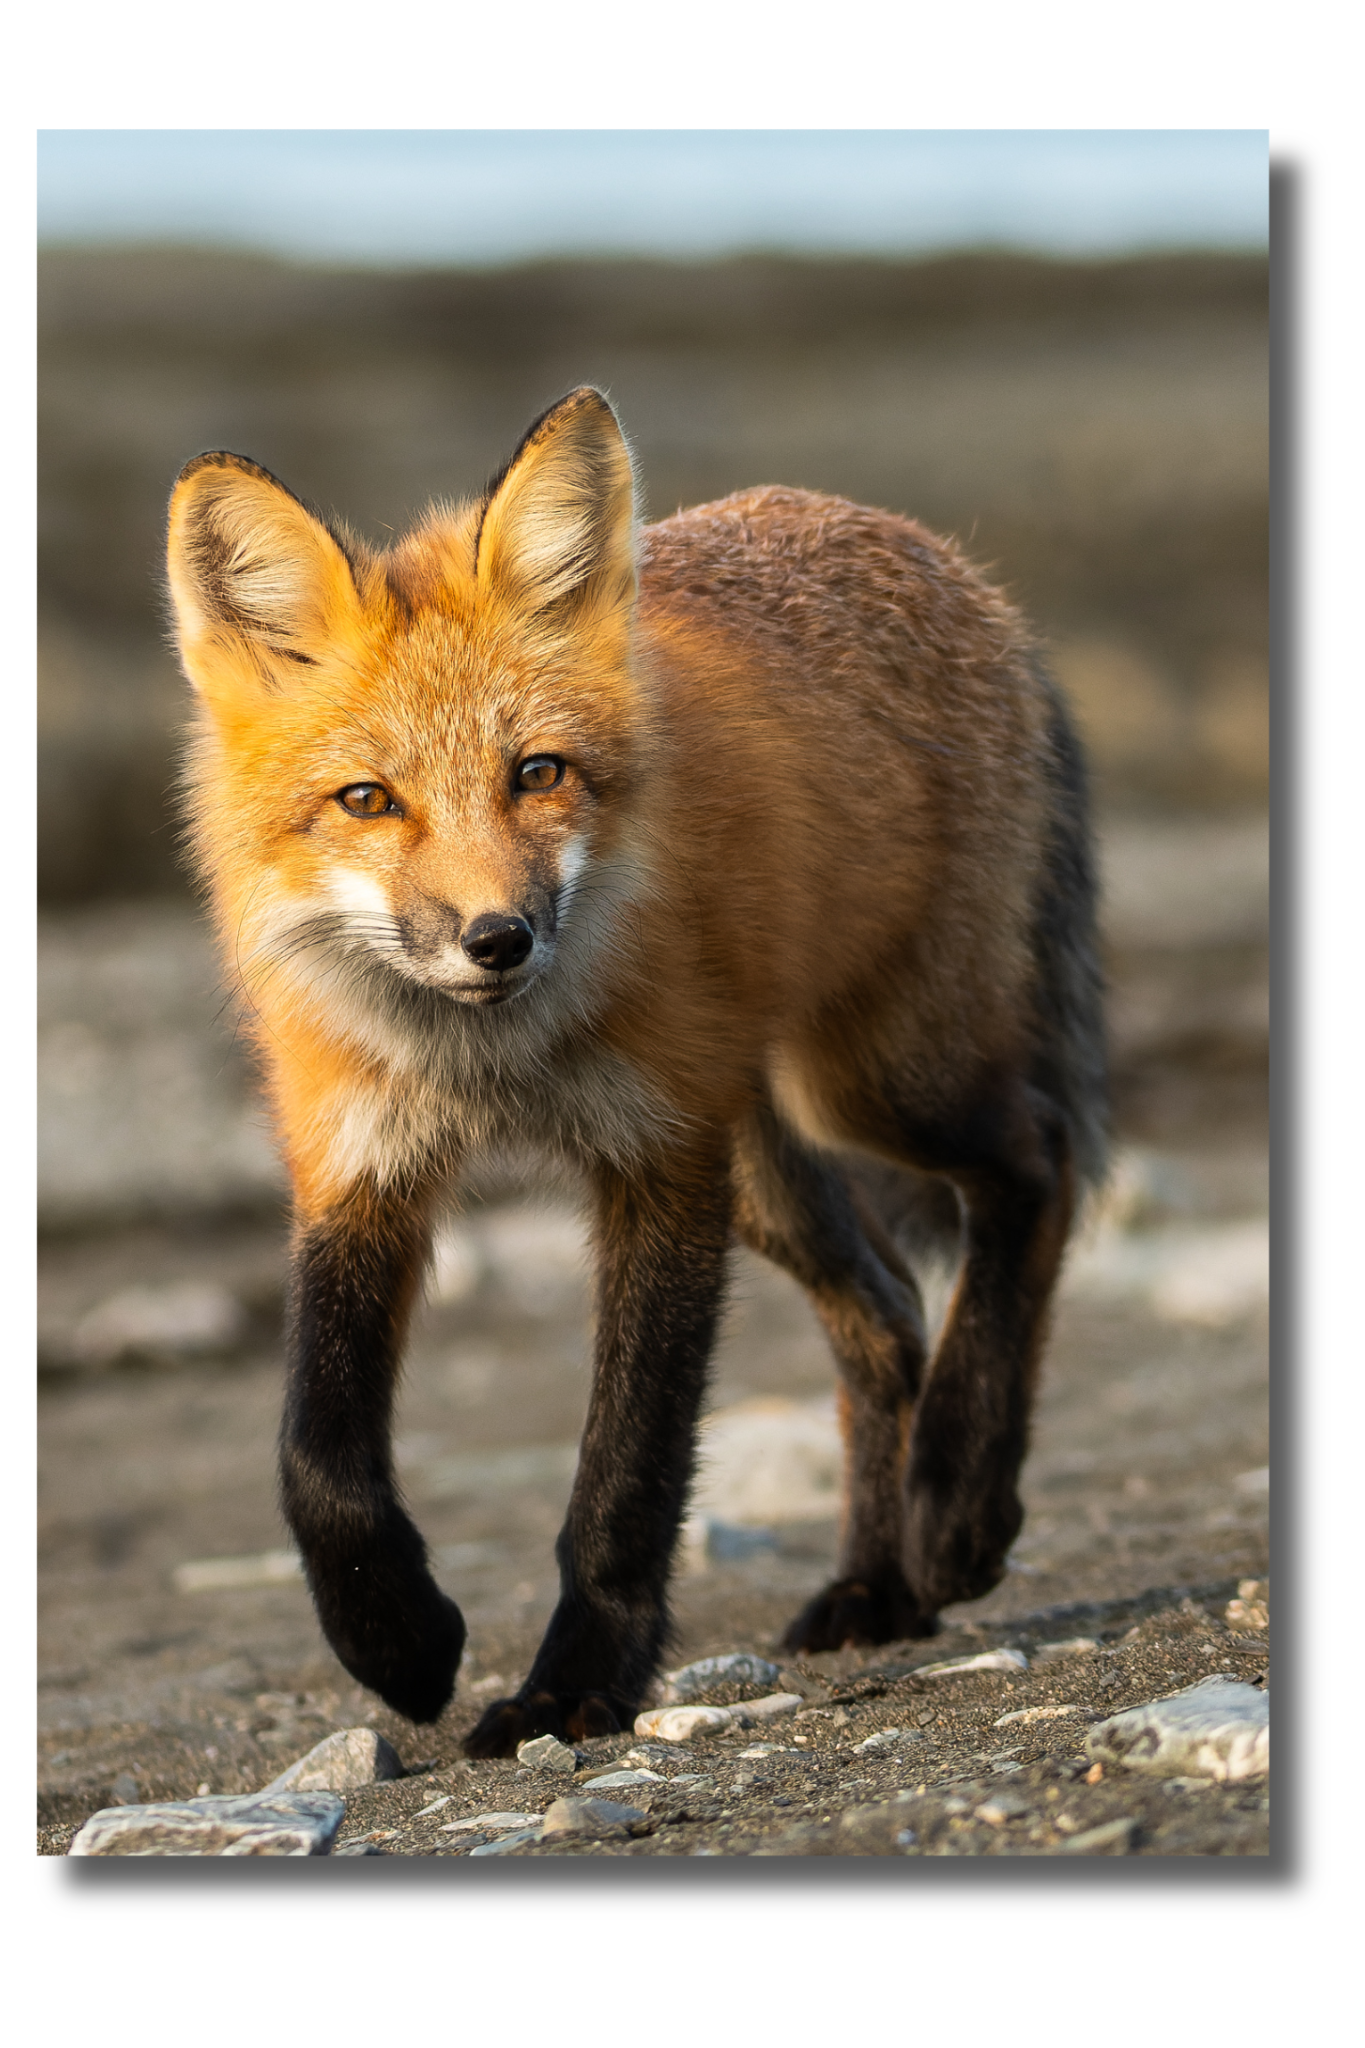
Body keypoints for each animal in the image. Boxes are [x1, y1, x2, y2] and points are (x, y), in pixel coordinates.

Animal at [165, 385, 1106, 1757]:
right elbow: (316, 1459)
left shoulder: (658, 1161)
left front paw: (576, 1685)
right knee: (885, 1306)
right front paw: (396, 1641)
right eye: (368, 799)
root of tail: (946, 561)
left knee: (1037, 1163)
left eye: (537, 773)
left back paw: (958, 1505)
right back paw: (878, 1584)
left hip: (871, 1081)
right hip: (765, 1158)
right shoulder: (359, 1160)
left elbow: (628, 1472)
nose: (498, 937)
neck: (494, 1064)